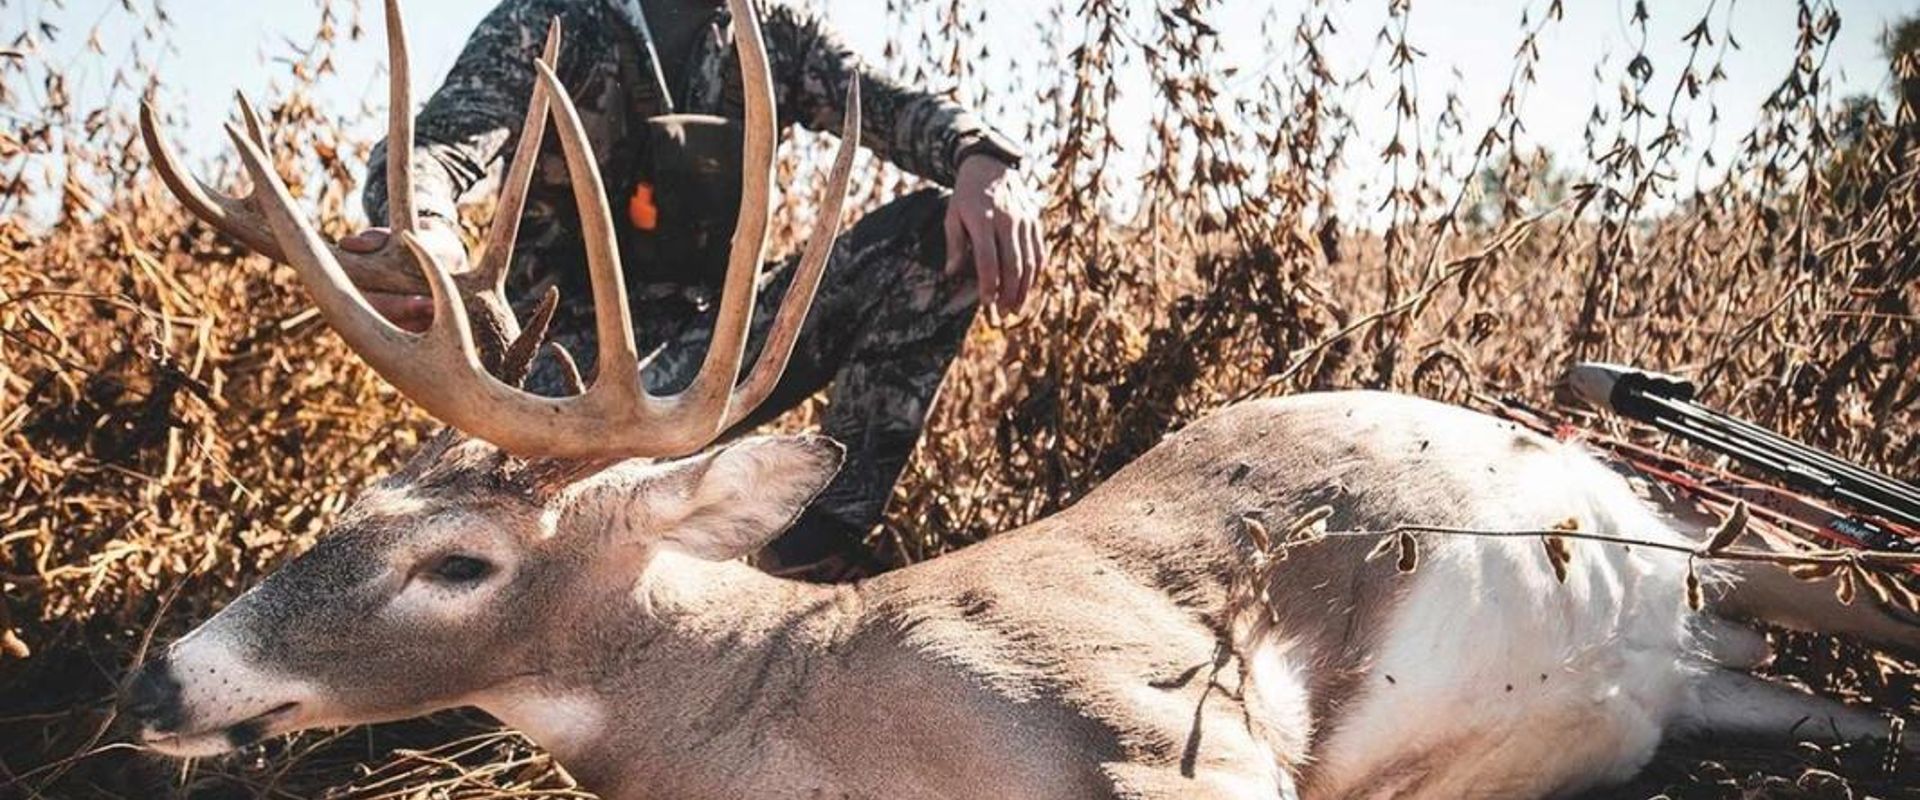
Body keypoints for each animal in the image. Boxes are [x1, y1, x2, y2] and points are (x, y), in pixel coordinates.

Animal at [123, 1, 1919, 797]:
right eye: (343, 510)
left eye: (460, 565)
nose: (159, 678)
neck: (791, 720)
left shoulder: (1170, 721)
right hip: (1710, 667)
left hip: (1719, 548)